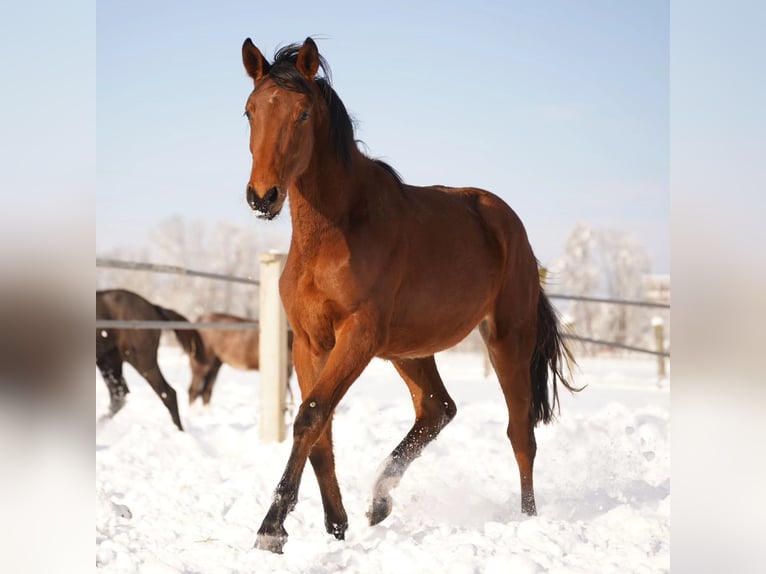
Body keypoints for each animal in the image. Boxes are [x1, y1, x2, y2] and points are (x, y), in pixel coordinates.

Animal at [241, 37, 579, 553]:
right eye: (250, 111)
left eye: (302, 114)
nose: (263, 196)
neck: (336, 232)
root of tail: (510, 224)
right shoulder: (309, 340)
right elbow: (320, 430)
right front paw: (336, 526)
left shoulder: (356, 335)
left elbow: (310, 416)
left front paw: (271, 529)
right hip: (408, 349)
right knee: (438, 408)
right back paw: (379, 501)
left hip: (506, 339)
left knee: (520, 433)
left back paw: (527, 521)